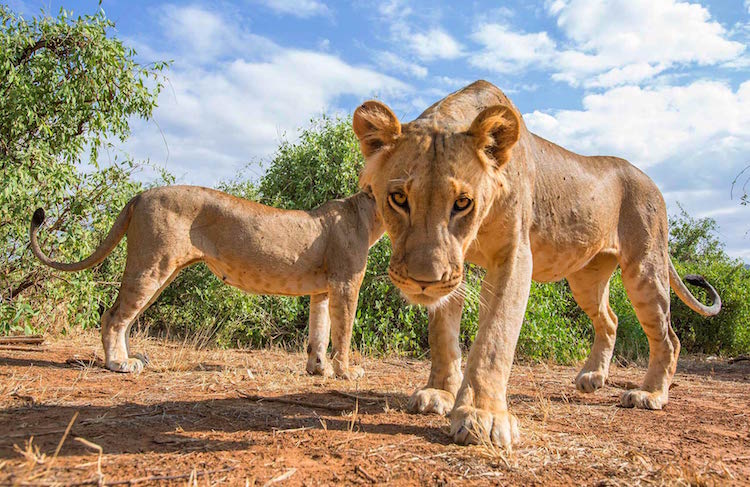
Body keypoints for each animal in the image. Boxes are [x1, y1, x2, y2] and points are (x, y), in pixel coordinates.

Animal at [28, 185, 382, 380]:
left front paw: (320, 370)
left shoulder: (323, 289)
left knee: (123, 315)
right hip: (152, 264)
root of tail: (140, 195)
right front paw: (346, 372)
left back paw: (132, 357)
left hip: (160, 270)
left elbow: (319, 332)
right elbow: (343, 331)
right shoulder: (345, 283)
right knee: (114, 316)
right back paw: (119, 363)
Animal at [352, 80, 724, 450]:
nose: (423, 281)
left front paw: (483, 416)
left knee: (668, 337)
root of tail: (652, 182)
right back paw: (592, 377)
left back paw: (650, 394)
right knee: (610, 319)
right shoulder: (456, 266)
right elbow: (442, 332)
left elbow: (495, 335)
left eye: (462, 203)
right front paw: (439, 393)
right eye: (399, 198)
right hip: (586, 279)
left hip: (645, 268)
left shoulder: (515, 254)